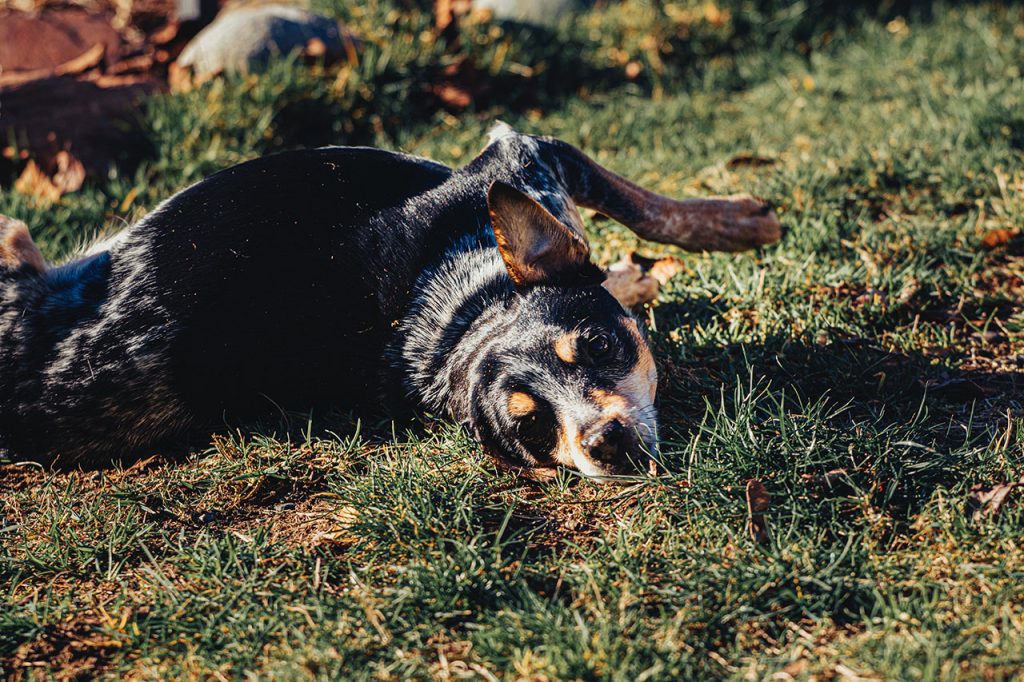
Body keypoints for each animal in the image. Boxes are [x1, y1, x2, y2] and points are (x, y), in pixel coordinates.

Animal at [0, 125, 774, 477]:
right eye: (531, 429)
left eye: (598, 345)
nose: (604, 442)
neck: (450, 314)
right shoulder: (523, 157)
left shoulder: (524, 158)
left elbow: (644, 205)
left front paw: (735, 222)